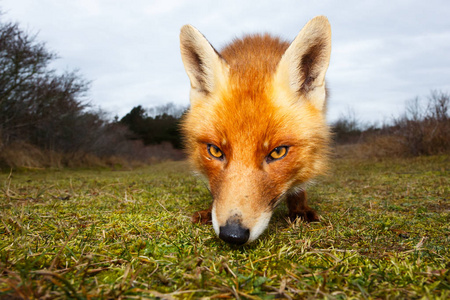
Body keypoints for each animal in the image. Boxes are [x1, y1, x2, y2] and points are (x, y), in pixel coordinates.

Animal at [178, 16, 330, 245]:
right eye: (215, 150)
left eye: (277, 152)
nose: (232, 235)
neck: (254, 58)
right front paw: (208, 212)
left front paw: (299, 209)